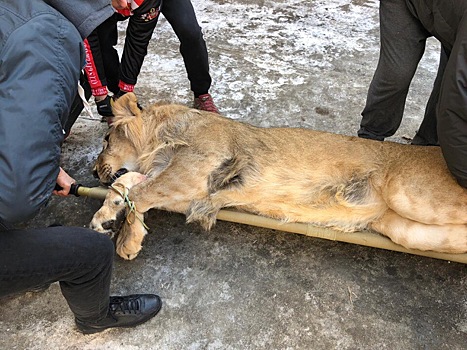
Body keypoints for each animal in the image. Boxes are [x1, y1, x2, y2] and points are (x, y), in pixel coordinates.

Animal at [90, 92, 467, 260]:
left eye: (107, 138)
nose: (93, 170)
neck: (158, 141)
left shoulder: (195, 171)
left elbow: (139, 195)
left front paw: (127, 241)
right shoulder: (187, 189)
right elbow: (124, 185)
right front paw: (103, 219)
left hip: (410, 195)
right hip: (409, 229)